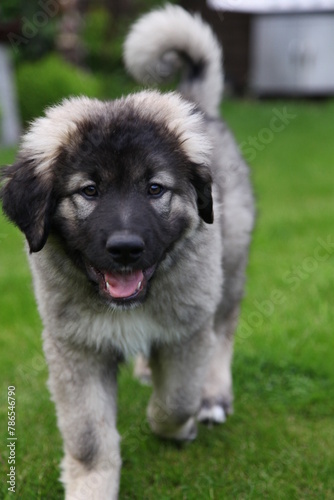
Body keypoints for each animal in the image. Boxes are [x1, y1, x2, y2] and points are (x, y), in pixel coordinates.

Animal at [1, 4, 254, 500]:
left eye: (154, 188)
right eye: (90, 191)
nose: (124, 249)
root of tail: (197, 104)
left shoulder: (186, 331)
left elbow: (175, 400)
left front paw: (178, 426)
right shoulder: (76, 349)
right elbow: (89, 437)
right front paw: (91, 486)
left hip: (229, 267)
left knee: (223, 330)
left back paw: (213, 395)